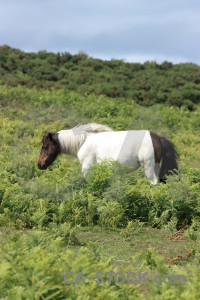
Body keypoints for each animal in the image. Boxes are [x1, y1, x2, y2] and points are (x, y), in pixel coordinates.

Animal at [37, 122, 178, 184]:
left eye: (45, 146)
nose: (39, 164)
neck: (84, 141)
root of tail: (157, 137)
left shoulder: (86, 166)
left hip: (148, 167)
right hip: (156, 166)